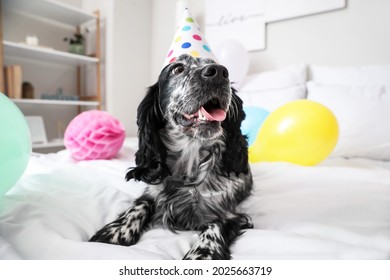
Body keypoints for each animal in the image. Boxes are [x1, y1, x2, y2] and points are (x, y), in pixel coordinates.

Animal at [89, 53, 253, 260]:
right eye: (178, 69)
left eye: (217, 65)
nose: (219, 72)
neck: (190, 161)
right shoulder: (152, 192)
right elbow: (139, 205)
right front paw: (116, 231)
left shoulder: (227, 211)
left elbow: (216, 224)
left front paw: (202, 253)